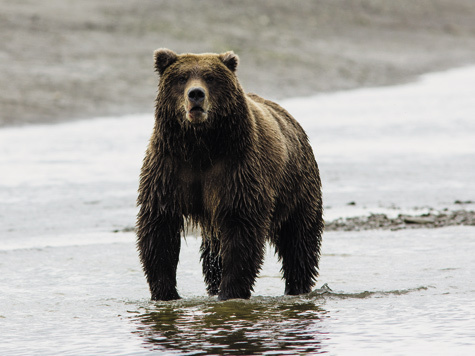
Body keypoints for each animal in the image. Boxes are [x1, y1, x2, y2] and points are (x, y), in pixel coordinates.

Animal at [137, 48, 324, 300]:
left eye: (210, 77)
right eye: (182, 78)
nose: (196, 94)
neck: (200, 145)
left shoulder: (237, 169)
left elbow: (241, 230)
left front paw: (230, 292)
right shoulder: (168, 169)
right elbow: (159, 228)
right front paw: (165, 293)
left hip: (298, 186)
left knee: (299, 240)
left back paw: (297, 288)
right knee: (213, 251)